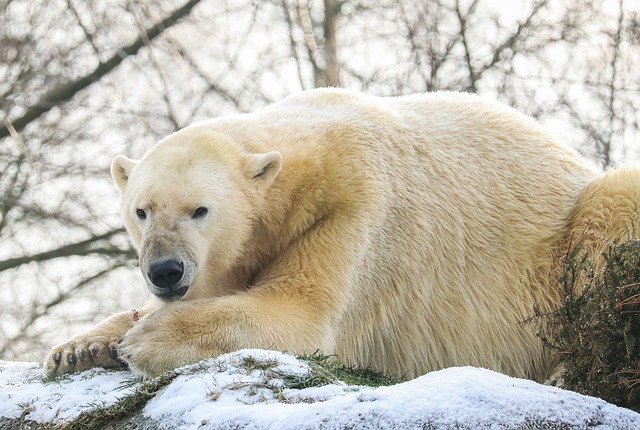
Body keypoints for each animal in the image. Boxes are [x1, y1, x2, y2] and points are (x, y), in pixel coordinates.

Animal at [42, 87, 636, 380]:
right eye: (141, 211)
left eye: (199, 209)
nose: (165, 271)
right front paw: (79, 347)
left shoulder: (356, 212)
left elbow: (301, 315)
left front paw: (145, 339)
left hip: (573, 233)